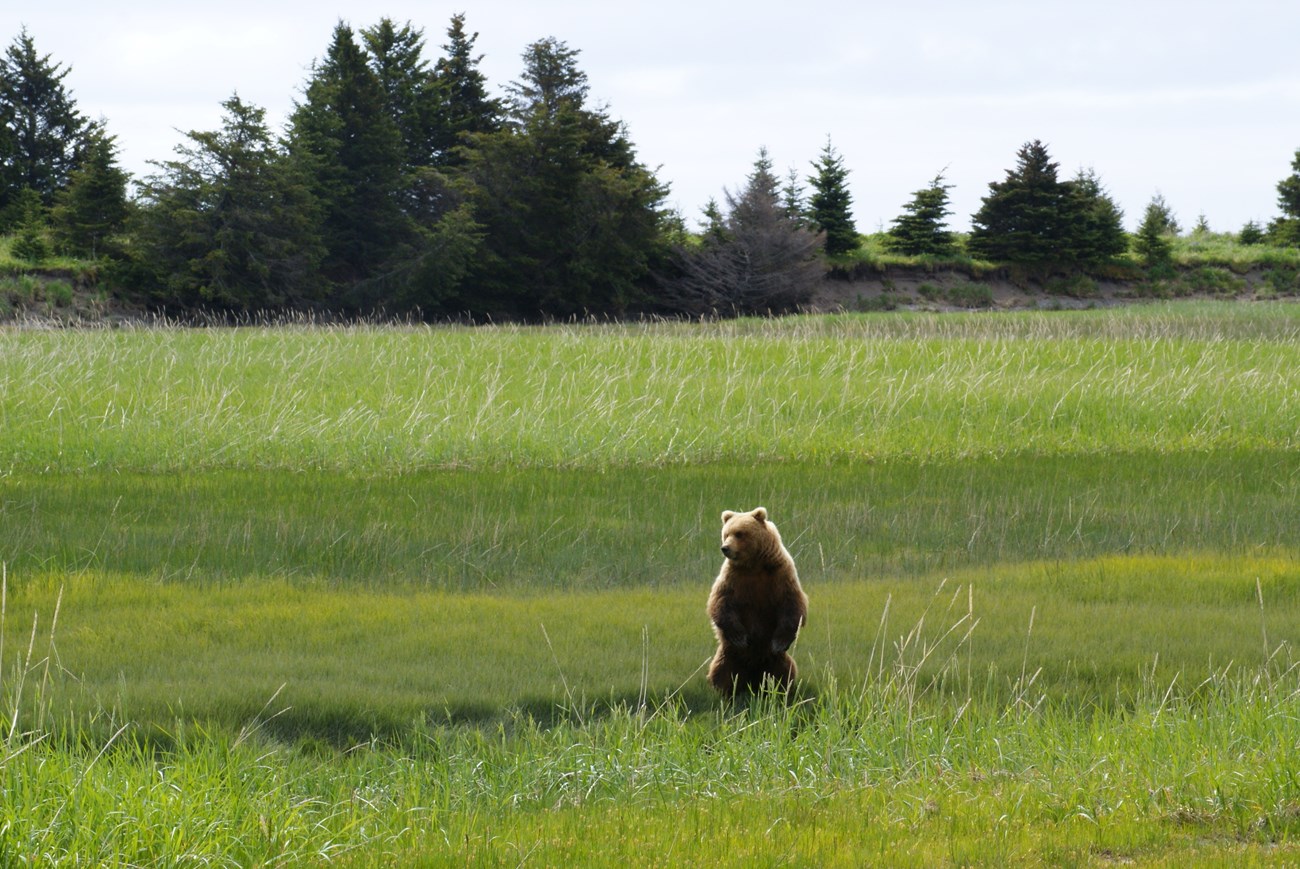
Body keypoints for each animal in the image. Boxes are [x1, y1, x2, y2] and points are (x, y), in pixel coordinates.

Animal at [707, 504, 806, 697]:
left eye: (739, 533)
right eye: (726, 533)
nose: (725, 548)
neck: (754, 565)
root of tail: (752, 677)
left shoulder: (781, 573)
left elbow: (792, 604)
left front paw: (779, 642)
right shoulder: (733, 577)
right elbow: (720, 601)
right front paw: (739, 636)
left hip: (775, 661)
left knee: (784, 671)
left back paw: (780, 691)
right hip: (729, 656)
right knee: (721, 672)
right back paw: (724, 692)